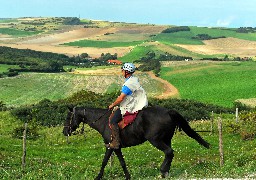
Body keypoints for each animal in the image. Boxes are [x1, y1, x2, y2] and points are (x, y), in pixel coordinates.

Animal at [62, 106, 210, 179]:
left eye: (68, 117)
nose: (65, 131)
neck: (102, 121)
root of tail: (169, 111)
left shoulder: (110, 146)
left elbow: (104, 161)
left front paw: (98, 177)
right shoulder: (117, 148)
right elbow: (122, 162)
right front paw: (128, 176)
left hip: (156, 140)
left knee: (169, 152)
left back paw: (162, 171)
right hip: (166, 139)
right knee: (170, 154)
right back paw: (166, 172)